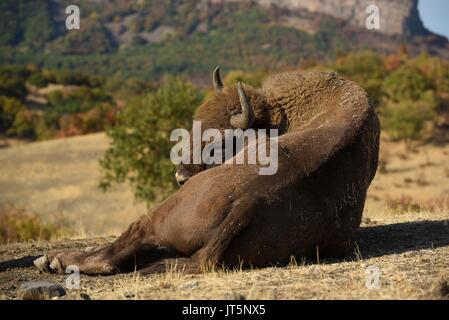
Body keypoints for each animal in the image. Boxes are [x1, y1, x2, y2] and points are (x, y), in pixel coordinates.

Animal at [34, 69, 378, 274]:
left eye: (221, 141)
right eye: (193, 127)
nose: (182, 177)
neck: (282, 112)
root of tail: (250, 201)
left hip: (155, 217)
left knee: (118, 251)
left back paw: (54, 259)